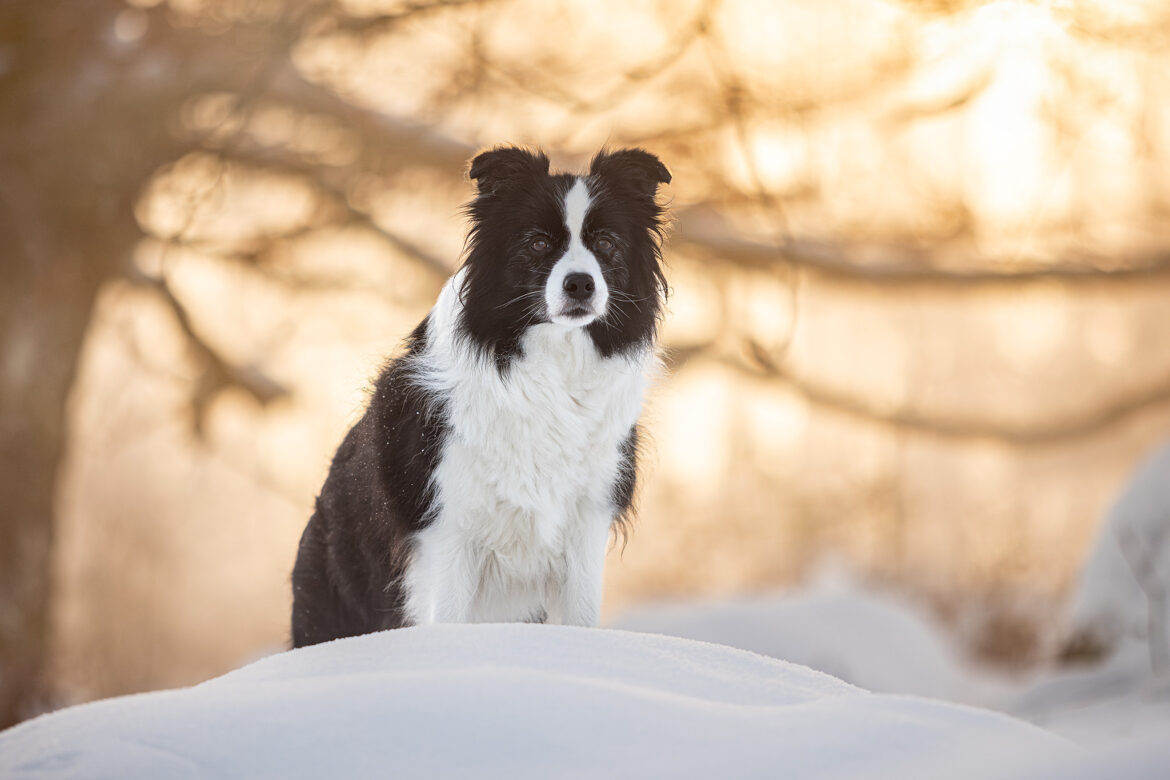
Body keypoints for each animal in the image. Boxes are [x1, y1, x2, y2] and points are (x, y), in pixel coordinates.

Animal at [291, 146, 673, 645]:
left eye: (607, 243)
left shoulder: (587, 519)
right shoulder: (448, 528)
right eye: (537, 243)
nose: (580, 284)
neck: (549, 367)